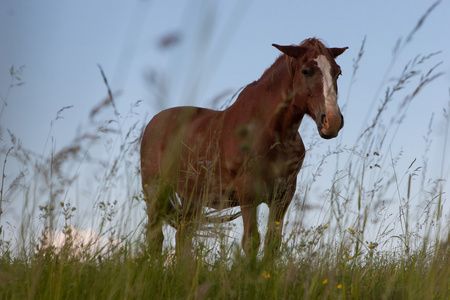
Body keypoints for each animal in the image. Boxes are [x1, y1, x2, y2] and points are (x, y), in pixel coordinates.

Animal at [141, 37, 348, 258]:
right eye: (306, 71)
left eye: (337, 72)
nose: (332, 121)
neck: (272, 133)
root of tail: (154, 123)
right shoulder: (248, 196)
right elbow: (251, 242)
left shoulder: (282, 198)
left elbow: (272, 243)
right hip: (155, 193)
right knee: (156, 239)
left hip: (190, 199)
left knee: (182, 238)